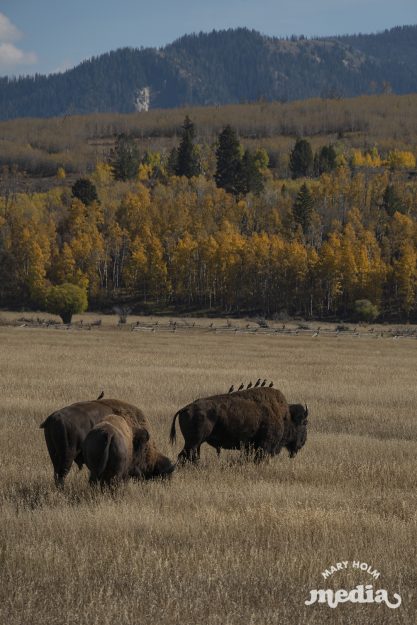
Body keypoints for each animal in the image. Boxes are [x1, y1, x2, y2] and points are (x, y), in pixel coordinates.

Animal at [170, 386, 308, 464]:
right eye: (304, 423)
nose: (302, 443)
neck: (285, 415)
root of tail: (185, 408)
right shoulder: (264, 446)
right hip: (193, 442)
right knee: (184, 456)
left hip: (195, 443)